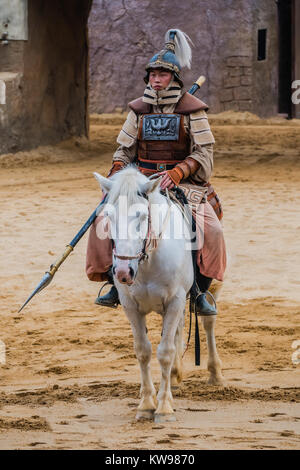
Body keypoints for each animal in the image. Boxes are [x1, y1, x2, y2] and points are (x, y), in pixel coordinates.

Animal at [94, 167, 223, 424]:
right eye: (109, 216)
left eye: (142, 216)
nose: (122, 272)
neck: (148, 259)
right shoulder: (131, 306)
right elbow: (143, 351)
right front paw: (146, 404)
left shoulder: (174, 301)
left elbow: (164, 352)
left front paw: (163, 408)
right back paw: (174, 375)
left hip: (210, 288)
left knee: (207, 322)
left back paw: (214, 373)